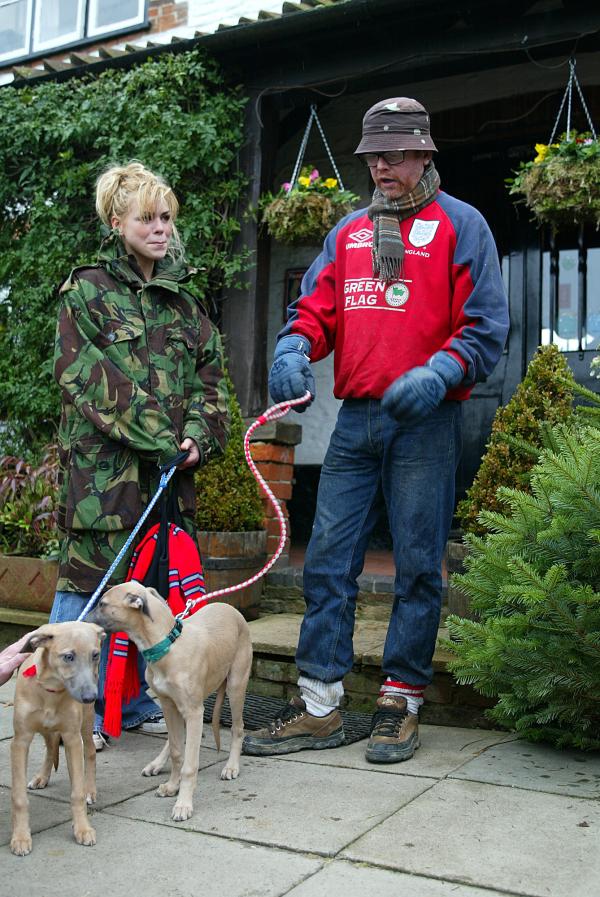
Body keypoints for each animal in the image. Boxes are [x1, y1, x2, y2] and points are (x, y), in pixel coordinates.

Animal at [10, 624, 105, 856]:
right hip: (46, 730)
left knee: (89, 752)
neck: (51, 691)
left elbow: (77, 792)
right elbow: (19, 797)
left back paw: (90, 790)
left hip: (86, 723)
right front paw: (21, 837)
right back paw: (41, 777)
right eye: (68, 656)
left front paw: (82, 829)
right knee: (51, 746)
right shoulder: (20, 742)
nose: (90, 697)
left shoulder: (72, 739)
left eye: (95, 655)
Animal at [91, 580, 253, 820]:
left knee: (238, 728)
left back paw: (232, 766)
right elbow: (178, 751)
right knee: (176, 739)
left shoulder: (194, 711)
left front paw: (183, 803)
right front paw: (172, 786)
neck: (167, 645)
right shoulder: (168, 705)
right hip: (181, 706)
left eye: (102, 603)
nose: (82, 621)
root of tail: (231, 609)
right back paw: (157, 763)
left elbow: (189, 764)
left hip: (235, 685)